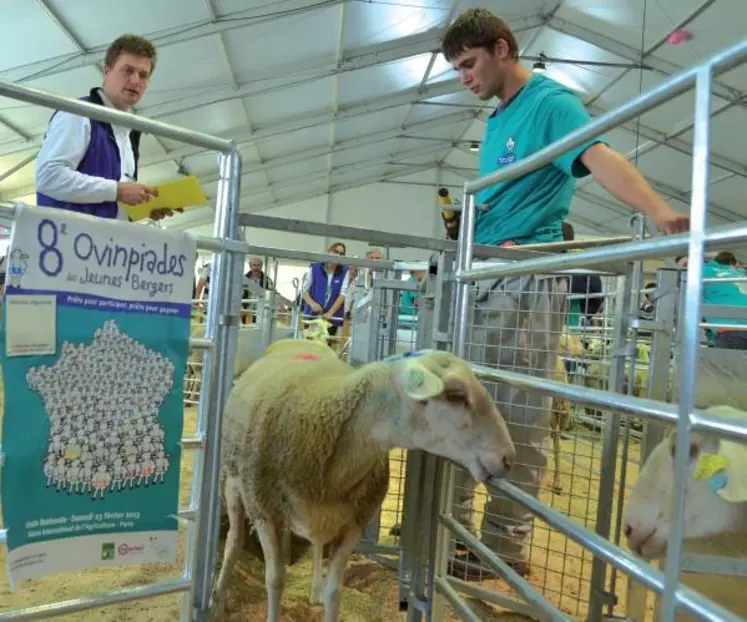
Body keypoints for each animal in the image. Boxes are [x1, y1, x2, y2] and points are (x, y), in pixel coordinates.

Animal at [209, 342, 516, 622]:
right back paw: (218, 593)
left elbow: (335, 592)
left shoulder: (353, 524)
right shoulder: (265, 512)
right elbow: (275, 581)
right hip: (232, 481)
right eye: (455, 395)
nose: (508, 458)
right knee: (234, 539)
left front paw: (324, 595)